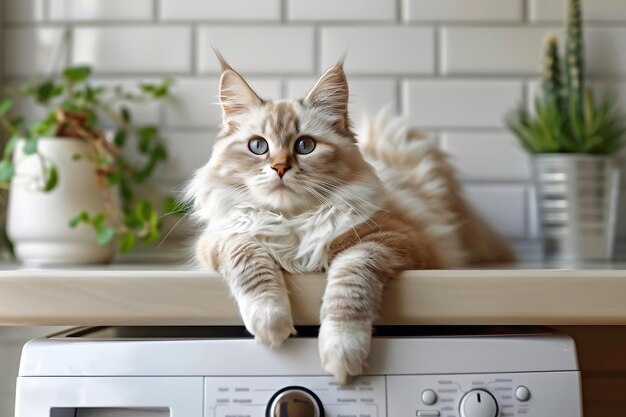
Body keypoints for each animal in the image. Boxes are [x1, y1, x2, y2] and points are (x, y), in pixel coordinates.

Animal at [186, 54, 512, 384]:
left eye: (305, 146)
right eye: (258, 146)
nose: (280, 168)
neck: (293, 219)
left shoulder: (386, 241)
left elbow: (348, 287)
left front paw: (342, 352)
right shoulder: (224, 237)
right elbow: (253, 265)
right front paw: (270, 323)